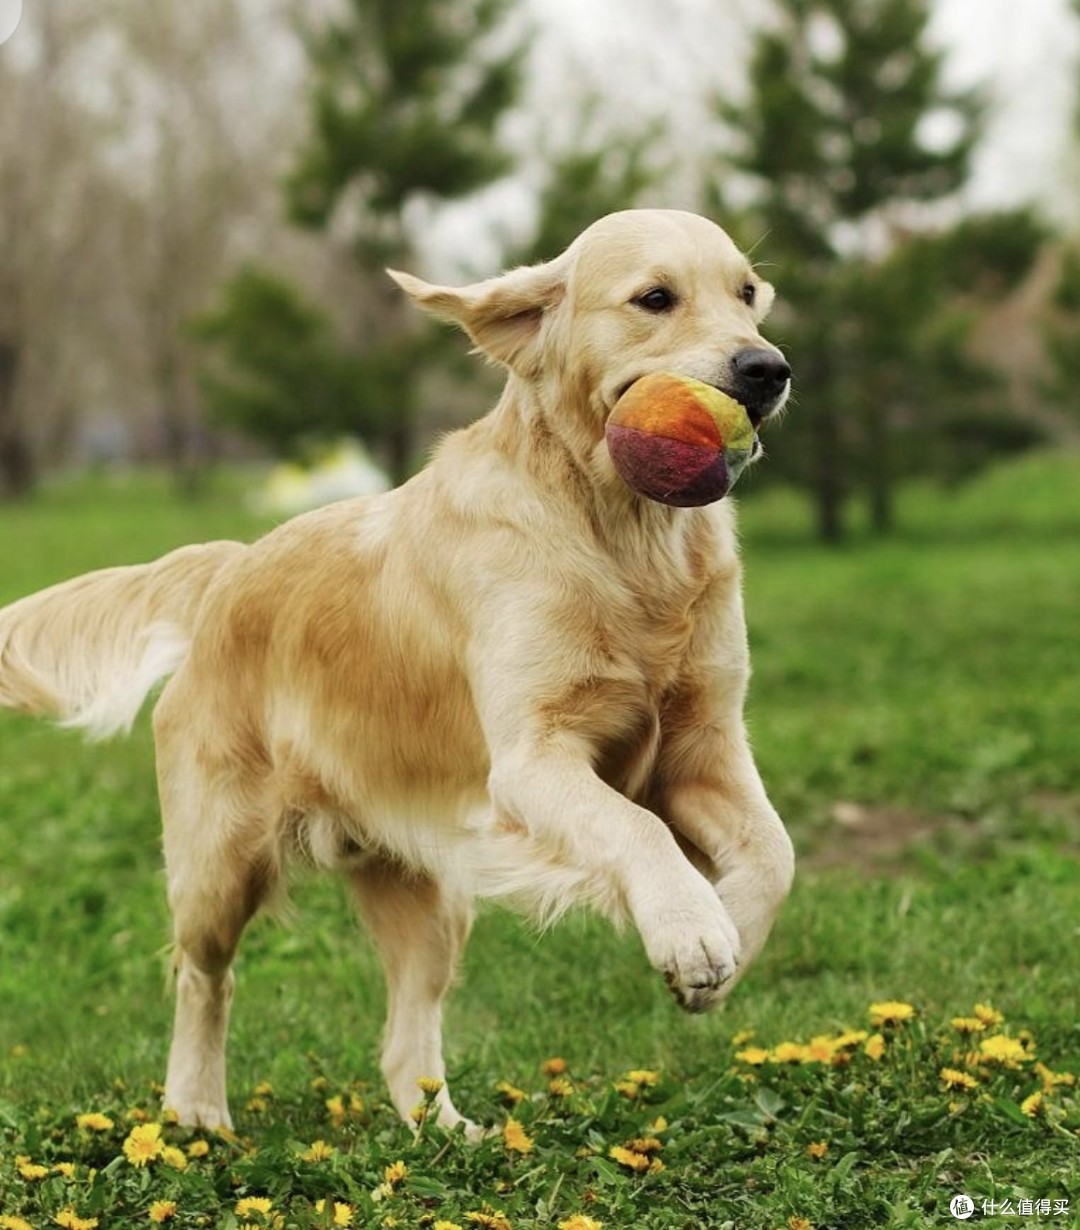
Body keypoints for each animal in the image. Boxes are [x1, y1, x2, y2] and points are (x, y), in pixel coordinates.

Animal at [0, 209, 797, 1131]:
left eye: (748, 293)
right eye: (655, 298)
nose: (767, 368)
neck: (621, 533)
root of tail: (230, 568)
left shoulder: (704, 743)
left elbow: (775, 852)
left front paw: (722, 939)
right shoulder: (532, 761)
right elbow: (637, 828)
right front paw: (689, 930)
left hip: (430, 894)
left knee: (404, 1041)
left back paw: (452, 1134)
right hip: (218, 863)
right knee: (203, 979)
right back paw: (197, 1113)